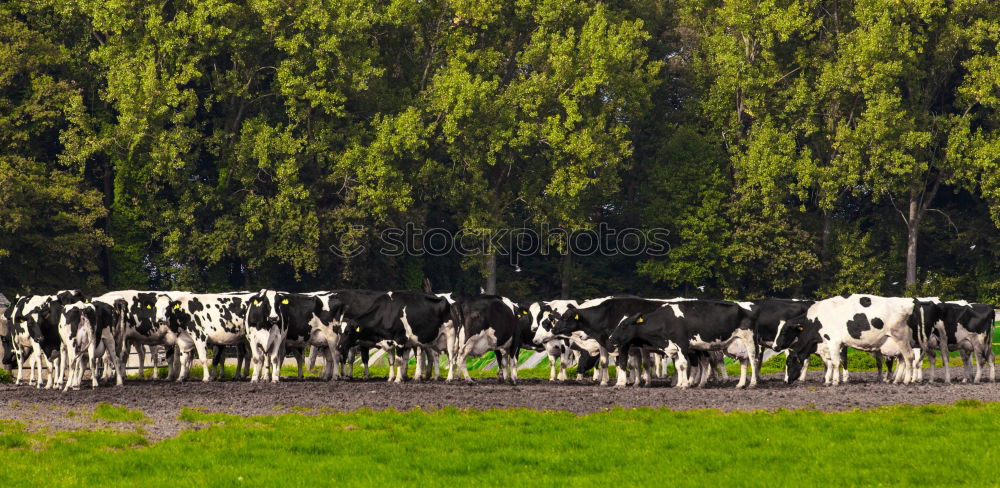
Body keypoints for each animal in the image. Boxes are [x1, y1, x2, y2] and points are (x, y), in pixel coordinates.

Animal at [608, 298, 756, 388]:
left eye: (624, 326)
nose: (610, 338)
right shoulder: (675, 347)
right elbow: (679, 365)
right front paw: (680, 384)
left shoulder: (682, 344)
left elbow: (684, 364)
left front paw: (684, 385)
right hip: (735, 344)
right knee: (742, 361)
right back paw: (739, 384)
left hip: (749, 340)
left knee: (753, 360)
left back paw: (753, 383)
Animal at [784, 294, 916, 386]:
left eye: (789, 363)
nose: (785, 381)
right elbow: (833, 362)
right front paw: (830, 380)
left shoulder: (834, 342)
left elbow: (835, 362)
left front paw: (835, 381)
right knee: (902, 360)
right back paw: (897, 380)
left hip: (901, 338)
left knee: (909, 357)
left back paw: (906, 381)